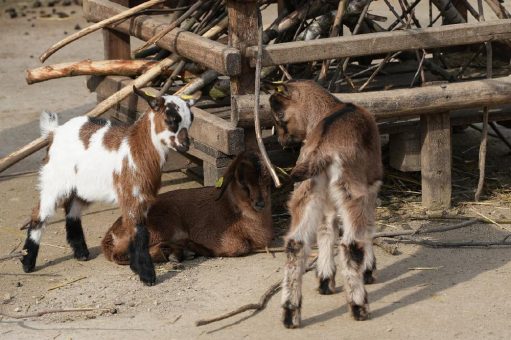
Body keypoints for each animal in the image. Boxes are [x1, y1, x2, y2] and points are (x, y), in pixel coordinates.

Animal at [21, 86, 195, 286]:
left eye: (191, 119)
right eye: (171, 119)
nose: (185, 145)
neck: (136, 148)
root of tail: (55, 132)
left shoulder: (142, 199)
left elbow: (133, 230)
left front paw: (135, 267)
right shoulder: (132, 195)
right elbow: (140, 233)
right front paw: (147, 276)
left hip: (80, 189)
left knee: (72, 211)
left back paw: (81, 253)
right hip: (54, 180)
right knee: (39, 213)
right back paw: (27, 263)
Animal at [101, 151, 274, 262]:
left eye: (267, 181)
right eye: (243, 183)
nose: (260, 203)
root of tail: (111, 234)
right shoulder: (212, 234)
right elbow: (240, 246)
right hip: (162, 227)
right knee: (121, 255)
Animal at [270, 79, 382, 326]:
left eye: (280, 116)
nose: (281, 141)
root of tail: (321, 150)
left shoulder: (326, 200)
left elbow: (326, 229)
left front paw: (324, 279)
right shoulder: (372, 185)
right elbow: (368, 229)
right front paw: (369, 270)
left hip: (306, 190)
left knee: (295, 243)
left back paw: (290, 312)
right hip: (351, 191)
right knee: (351, 244)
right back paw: (359, 306)